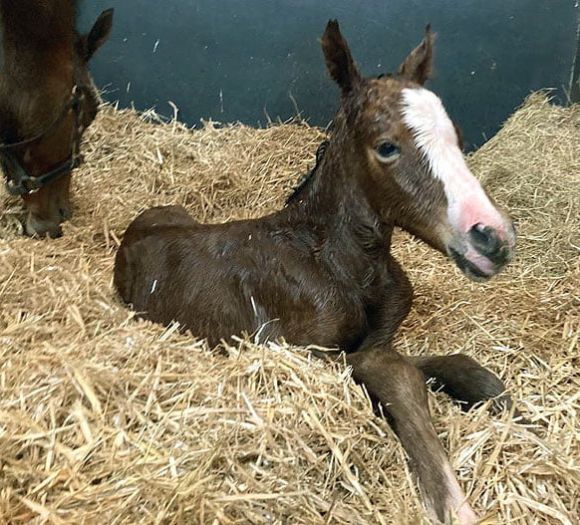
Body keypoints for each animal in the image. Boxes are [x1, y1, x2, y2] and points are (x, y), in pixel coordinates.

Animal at [112, 21, 516, 524]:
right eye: (387, 147)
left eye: (457, 137)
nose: (492, 237)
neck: (342, 263)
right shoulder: (306, 353)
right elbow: (393, 372)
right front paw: (451, 502)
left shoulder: (373, 339)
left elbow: (455, 366)